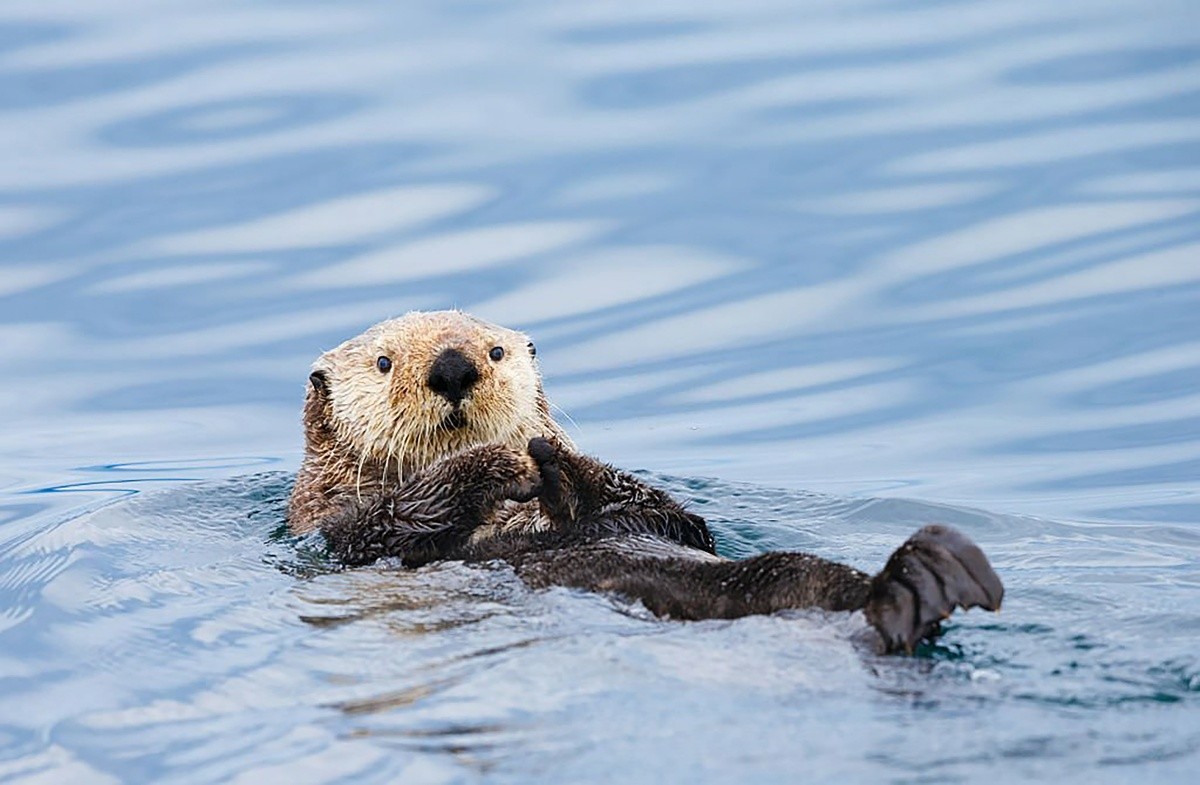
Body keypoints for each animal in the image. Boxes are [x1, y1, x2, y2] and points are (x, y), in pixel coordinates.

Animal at [292, 309, 1003, 652]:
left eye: (494, 352)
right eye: (385, 364)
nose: (452, 367)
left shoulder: (668, 519)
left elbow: (670, 515)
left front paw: (554, 461)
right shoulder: (336, 530)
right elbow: (395, 520)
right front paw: (504, 462)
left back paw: (928, 577)